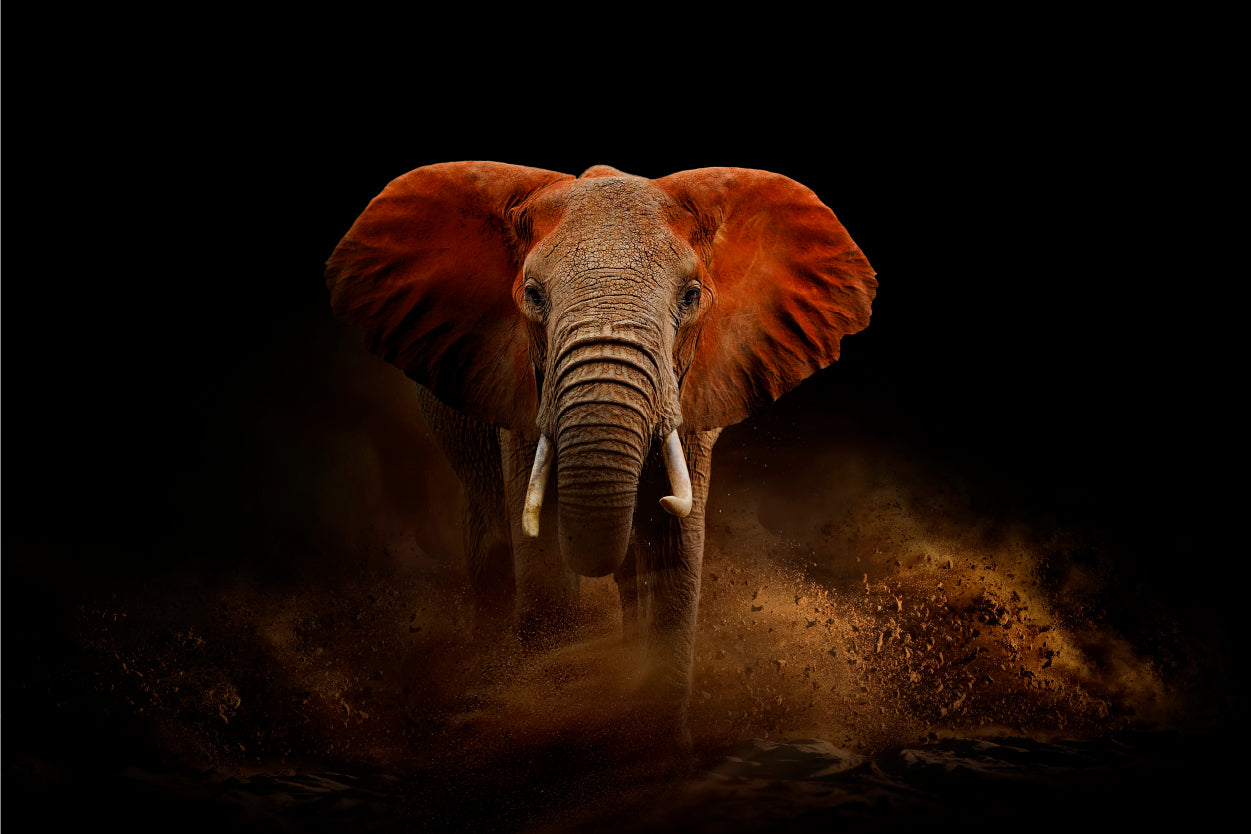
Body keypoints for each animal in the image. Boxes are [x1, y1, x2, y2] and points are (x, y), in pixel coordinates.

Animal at [324, 161, 877, 752]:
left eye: (691, 297)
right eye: (533, 295)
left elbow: (673, 559)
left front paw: (652, 750)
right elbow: (543, 559)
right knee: (491, 550)